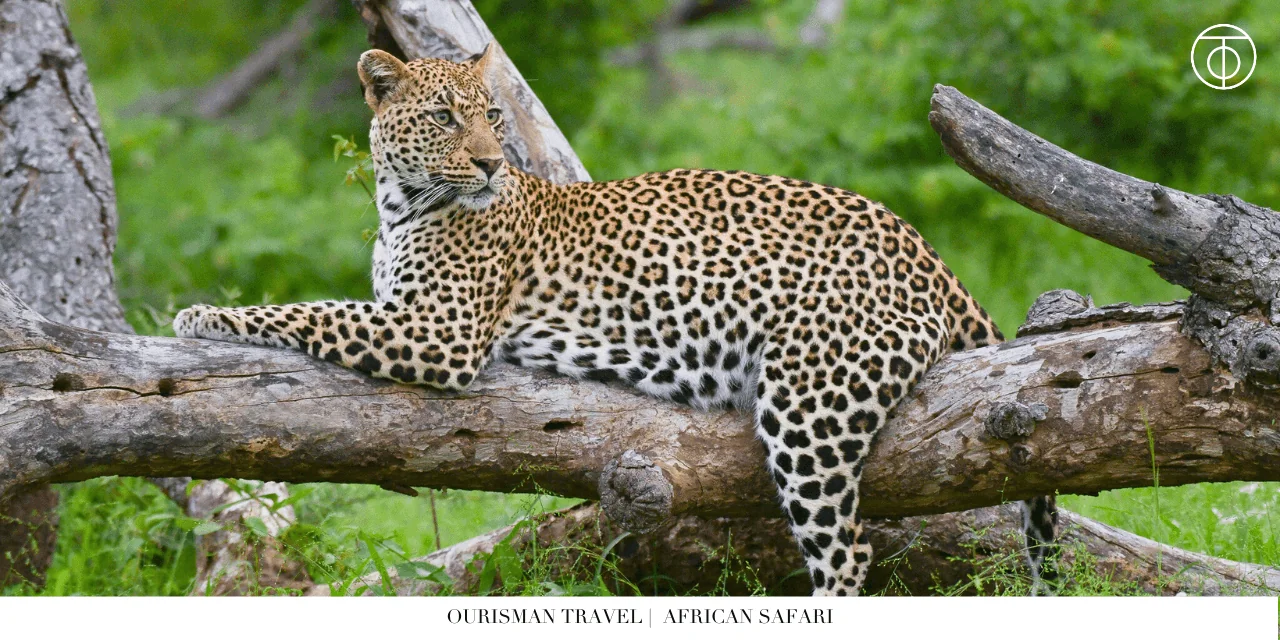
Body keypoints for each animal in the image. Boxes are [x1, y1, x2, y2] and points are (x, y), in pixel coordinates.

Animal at [174, 44, 1058, 596]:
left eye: (493, 115)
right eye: (444, 118)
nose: (490, 163)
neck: (401, 207)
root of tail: (928, 251)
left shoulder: (439, 331)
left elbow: (314, 309)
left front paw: (202, 315)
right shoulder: (415, 316)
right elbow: (324, 304)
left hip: (811, 405)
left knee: (848, 550)